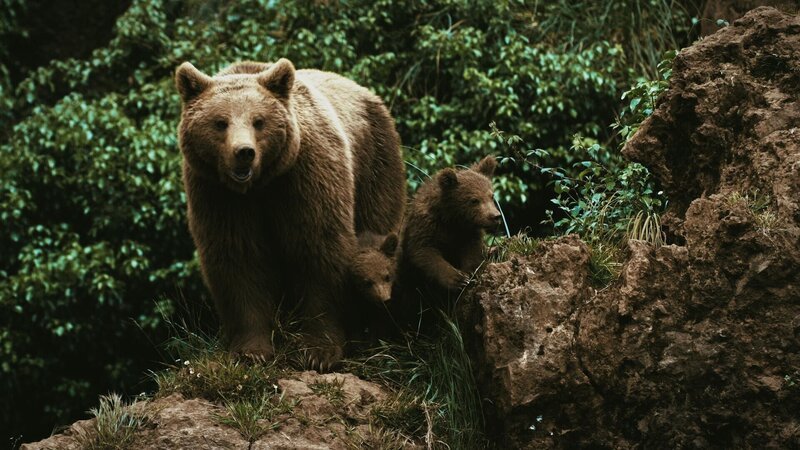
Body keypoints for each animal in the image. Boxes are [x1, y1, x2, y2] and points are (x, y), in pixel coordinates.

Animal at [175, 58, 405, 371]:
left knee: (377, 223)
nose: (244, 152)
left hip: (374, 161)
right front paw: (251, 351)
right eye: (220, 122)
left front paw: (318, 351)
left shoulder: (306, 175)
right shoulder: (218, 195)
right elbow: (239, 258)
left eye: (259, 121)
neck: (261, 184)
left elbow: (317, 248)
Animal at [391, 156, 500, 332]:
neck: (452, 219)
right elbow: (424, 253)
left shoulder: (467, 233)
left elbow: (473, 251)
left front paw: (471, 272)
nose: (495, 216)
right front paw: (458, 279)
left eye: (491, 196)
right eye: (474, 200)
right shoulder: (426, 228)